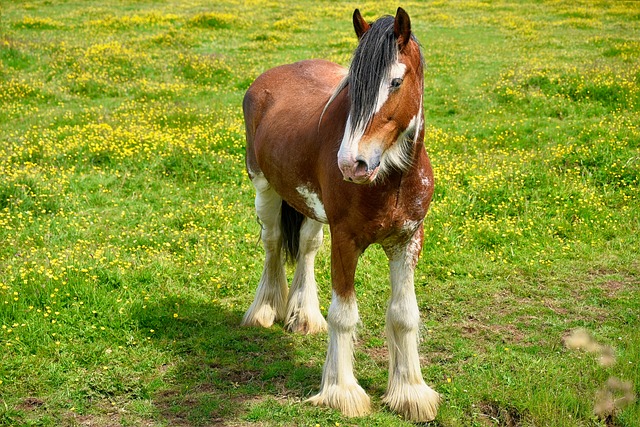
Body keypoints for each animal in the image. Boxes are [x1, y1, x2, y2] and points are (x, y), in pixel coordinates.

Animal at [240, 7, 440, 424]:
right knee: (272, 243)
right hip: (264, 188)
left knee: (306, 247)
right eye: (353, 87)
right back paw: (265, 309)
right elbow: (344, 315)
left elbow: (404, 314)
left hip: (311, 209)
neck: (391, 178)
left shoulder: (408, 240)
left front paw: (410, 393)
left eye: (396, 81)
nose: (352, 163)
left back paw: (303, 316)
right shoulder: (346, 240)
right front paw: (342, 392)